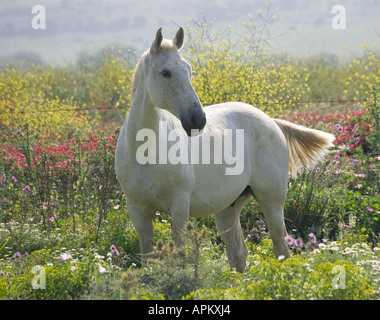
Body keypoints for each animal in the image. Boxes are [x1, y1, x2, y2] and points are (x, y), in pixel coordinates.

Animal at [114, 27, 334, 272]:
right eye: (165, 72)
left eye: (188, 70)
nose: (197, 119)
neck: (146, 152)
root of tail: (272, 122)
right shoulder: (138, 211)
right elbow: (148, 258)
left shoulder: (179, 209)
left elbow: (179, 256)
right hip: (229, 207)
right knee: (238, 253)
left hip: (272, 202)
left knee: (280, 248)